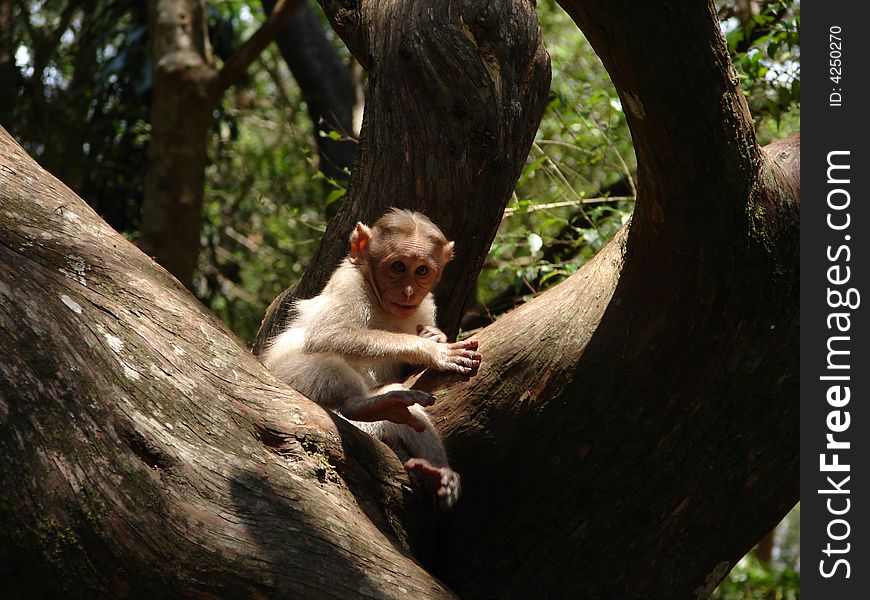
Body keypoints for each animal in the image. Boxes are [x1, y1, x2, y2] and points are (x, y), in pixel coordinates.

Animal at [266, 209, 484, 508]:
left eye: (421, 271)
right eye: (398, 267)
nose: (408, 291)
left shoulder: (426, 305)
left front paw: (434, 336)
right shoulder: (348, 283)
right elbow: (328, 335)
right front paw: (431, 350)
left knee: (408, 410)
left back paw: (437, 472)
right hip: (292, 382)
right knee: (324, 364)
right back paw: (361, 405)